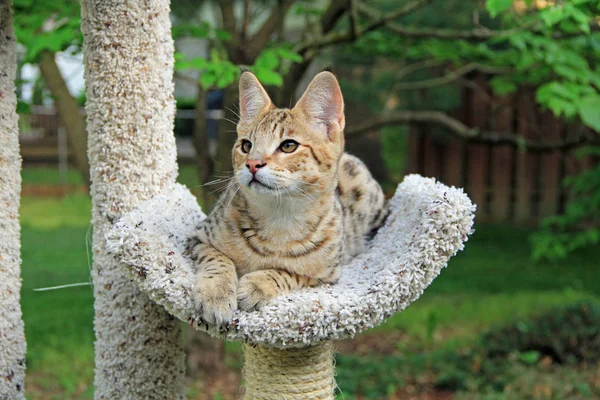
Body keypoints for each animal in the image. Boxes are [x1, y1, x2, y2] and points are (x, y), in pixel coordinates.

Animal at [185, 70, 386, 324]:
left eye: (289, 145)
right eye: (246, 145)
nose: (252, 163)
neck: (279, 218)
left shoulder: (327, 275)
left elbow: (289, 273)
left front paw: (258, 284)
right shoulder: (197, 238)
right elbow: (218, 260)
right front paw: (216, 293)